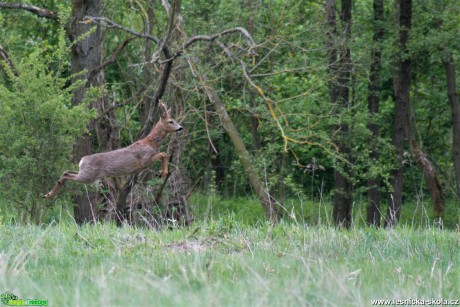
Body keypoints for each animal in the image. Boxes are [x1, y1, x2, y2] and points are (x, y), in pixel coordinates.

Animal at [43, 100, 182, 199]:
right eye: (171, 121)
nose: (181, 128)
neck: (151, 143)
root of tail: (82, 160)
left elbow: (164, 153)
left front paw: (162, 172)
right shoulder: (144, 160)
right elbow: (163, 154)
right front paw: (162, 172)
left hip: (86, 173)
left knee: (66, 171)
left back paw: (47, 195)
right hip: (88, 176)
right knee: (67, 175)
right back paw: (48, 195)